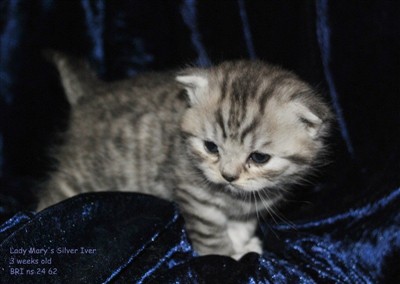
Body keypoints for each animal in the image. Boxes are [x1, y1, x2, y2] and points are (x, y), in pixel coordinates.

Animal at [36, 53, 332, 260]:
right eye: (211, 147)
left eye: (259, 158)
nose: (228, 175)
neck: (233, 196)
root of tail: (89, 95)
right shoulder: (195, 194)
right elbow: (211, 232)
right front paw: (227, 255)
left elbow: (243, 222)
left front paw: (240, 240)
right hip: (81, 175)